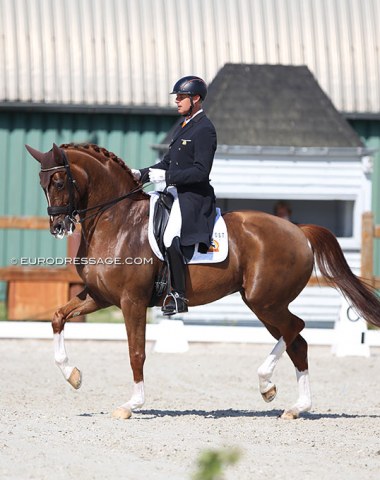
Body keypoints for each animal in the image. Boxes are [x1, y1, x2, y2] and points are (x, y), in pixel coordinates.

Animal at [26, 143, 380, 420]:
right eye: (41, 183)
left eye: (60, 180)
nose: (58, 226)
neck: (117, 222)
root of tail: (299, 230)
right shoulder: (99, 296)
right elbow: (57, 318)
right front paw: (72, 376)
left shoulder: (131, 301)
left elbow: (136, 352)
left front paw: (132, 404)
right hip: (265, 305)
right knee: (298, 342)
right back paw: (295, 406)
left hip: (265, 301)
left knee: (296, 328)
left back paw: (266, 383)